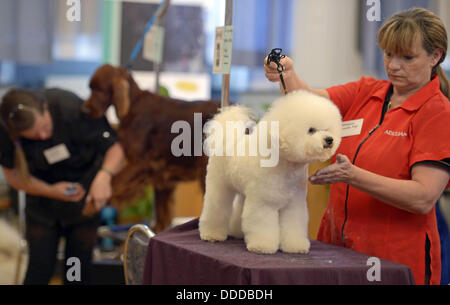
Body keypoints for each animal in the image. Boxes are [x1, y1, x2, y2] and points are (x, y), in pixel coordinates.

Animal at [83, 63, 221, 230]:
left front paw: (90, 205)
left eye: (99, 90)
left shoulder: (139, 164)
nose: (84, 110)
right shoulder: (163, 178)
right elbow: (163, 213)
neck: (134, 104)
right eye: (90, 88)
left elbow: (114, 182)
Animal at [200, 89, 342, 253]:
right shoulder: (263, 203)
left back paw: (237, 232)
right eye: (311, 130)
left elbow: (293, 226)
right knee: (216, 207)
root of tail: (229, 139)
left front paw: (295, 246)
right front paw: (262, 246)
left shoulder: (293, 205)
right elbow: (263, 225)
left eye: (327, 129)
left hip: (244, 192)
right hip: (220, 185)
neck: (285, 167)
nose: (329, 139)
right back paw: (212, 234)